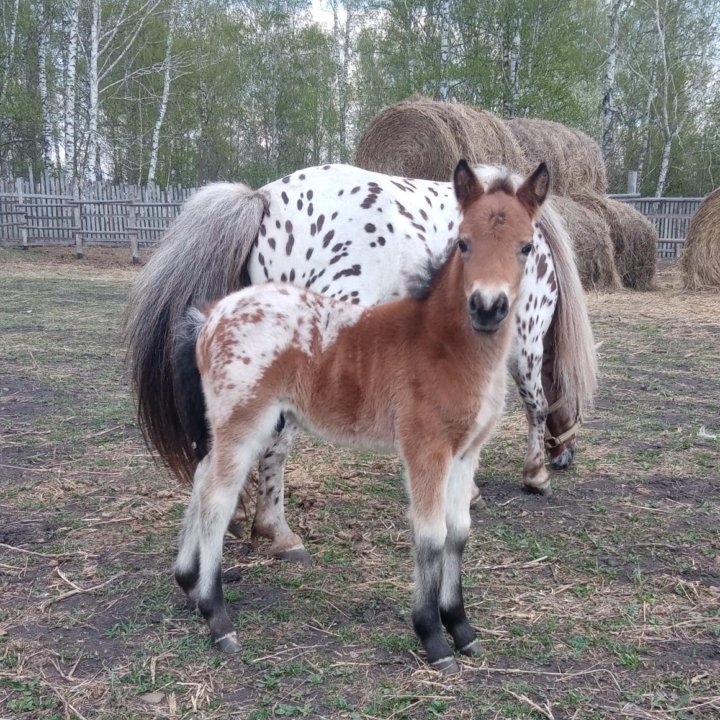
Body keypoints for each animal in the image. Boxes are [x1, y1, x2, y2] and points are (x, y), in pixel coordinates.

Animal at [124, 162, 596, 564]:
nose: (566, 457)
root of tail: (265, 199)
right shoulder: (525, 340)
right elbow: (535, 404)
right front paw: (534, 475)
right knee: (274, 443)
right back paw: (276, 531)